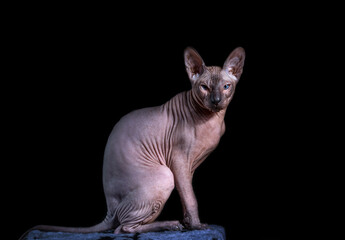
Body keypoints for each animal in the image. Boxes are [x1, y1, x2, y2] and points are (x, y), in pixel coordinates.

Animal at [19, 46, 245, 238]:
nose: (216, 101)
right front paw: (196, 225)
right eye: (204, 87)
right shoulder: (179, 161)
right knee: (122, 228)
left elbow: (186, 195)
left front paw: (190, 223)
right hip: (164, 176)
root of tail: (110, 209)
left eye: (226, 87)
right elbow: (191, 198)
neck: (211, 119)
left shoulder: (189, 167)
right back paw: (169, 224)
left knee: (122, 226)